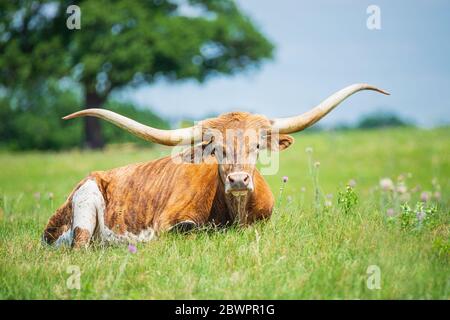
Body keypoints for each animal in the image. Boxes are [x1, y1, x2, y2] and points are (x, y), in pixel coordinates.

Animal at [41, 83, 386, 248]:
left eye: (257, 146)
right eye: (217, 149)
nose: (238, 180)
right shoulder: (169, 224)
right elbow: (189, 231)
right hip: (84, 203)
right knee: (82, 246)